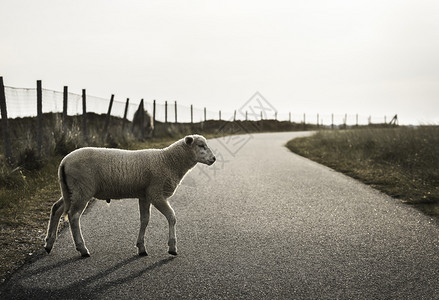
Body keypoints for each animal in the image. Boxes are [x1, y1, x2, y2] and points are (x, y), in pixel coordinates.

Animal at [44, 135, 217, 256]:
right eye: (201, 145)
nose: (214, 159)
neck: (168, 161)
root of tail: (64, 162)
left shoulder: (145, 196)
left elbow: (145, 220)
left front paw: (141, 248)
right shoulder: (156, 194)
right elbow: (172, 217)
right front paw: (172, 247)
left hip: (71, 190)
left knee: (56, 209)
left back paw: (48, 244)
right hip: (82, 190)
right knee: (73, 216)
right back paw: (82, 249)